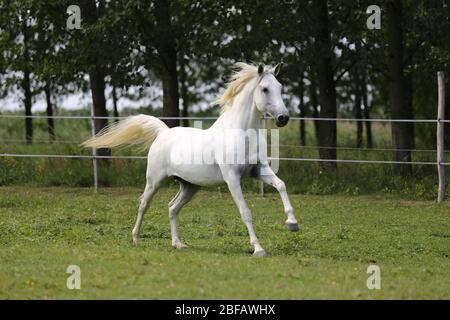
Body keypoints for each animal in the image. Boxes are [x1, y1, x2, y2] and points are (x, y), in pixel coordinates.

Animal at [84, 62, 298, 256]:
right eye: (265, 89)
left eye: (280, 87)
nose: (283, 118)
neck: (240, 132)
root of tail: (163, 132)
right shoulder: (232, 178)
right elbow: (245, 212)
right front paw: (258, 248)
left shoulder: (258, 170)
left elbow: (281, 185)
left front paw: (292, 223)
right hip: (154, 181)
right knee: (144, 204)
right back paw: (136, 238)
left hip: (190, 186)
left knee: (172, 208)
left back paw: (178, 244)